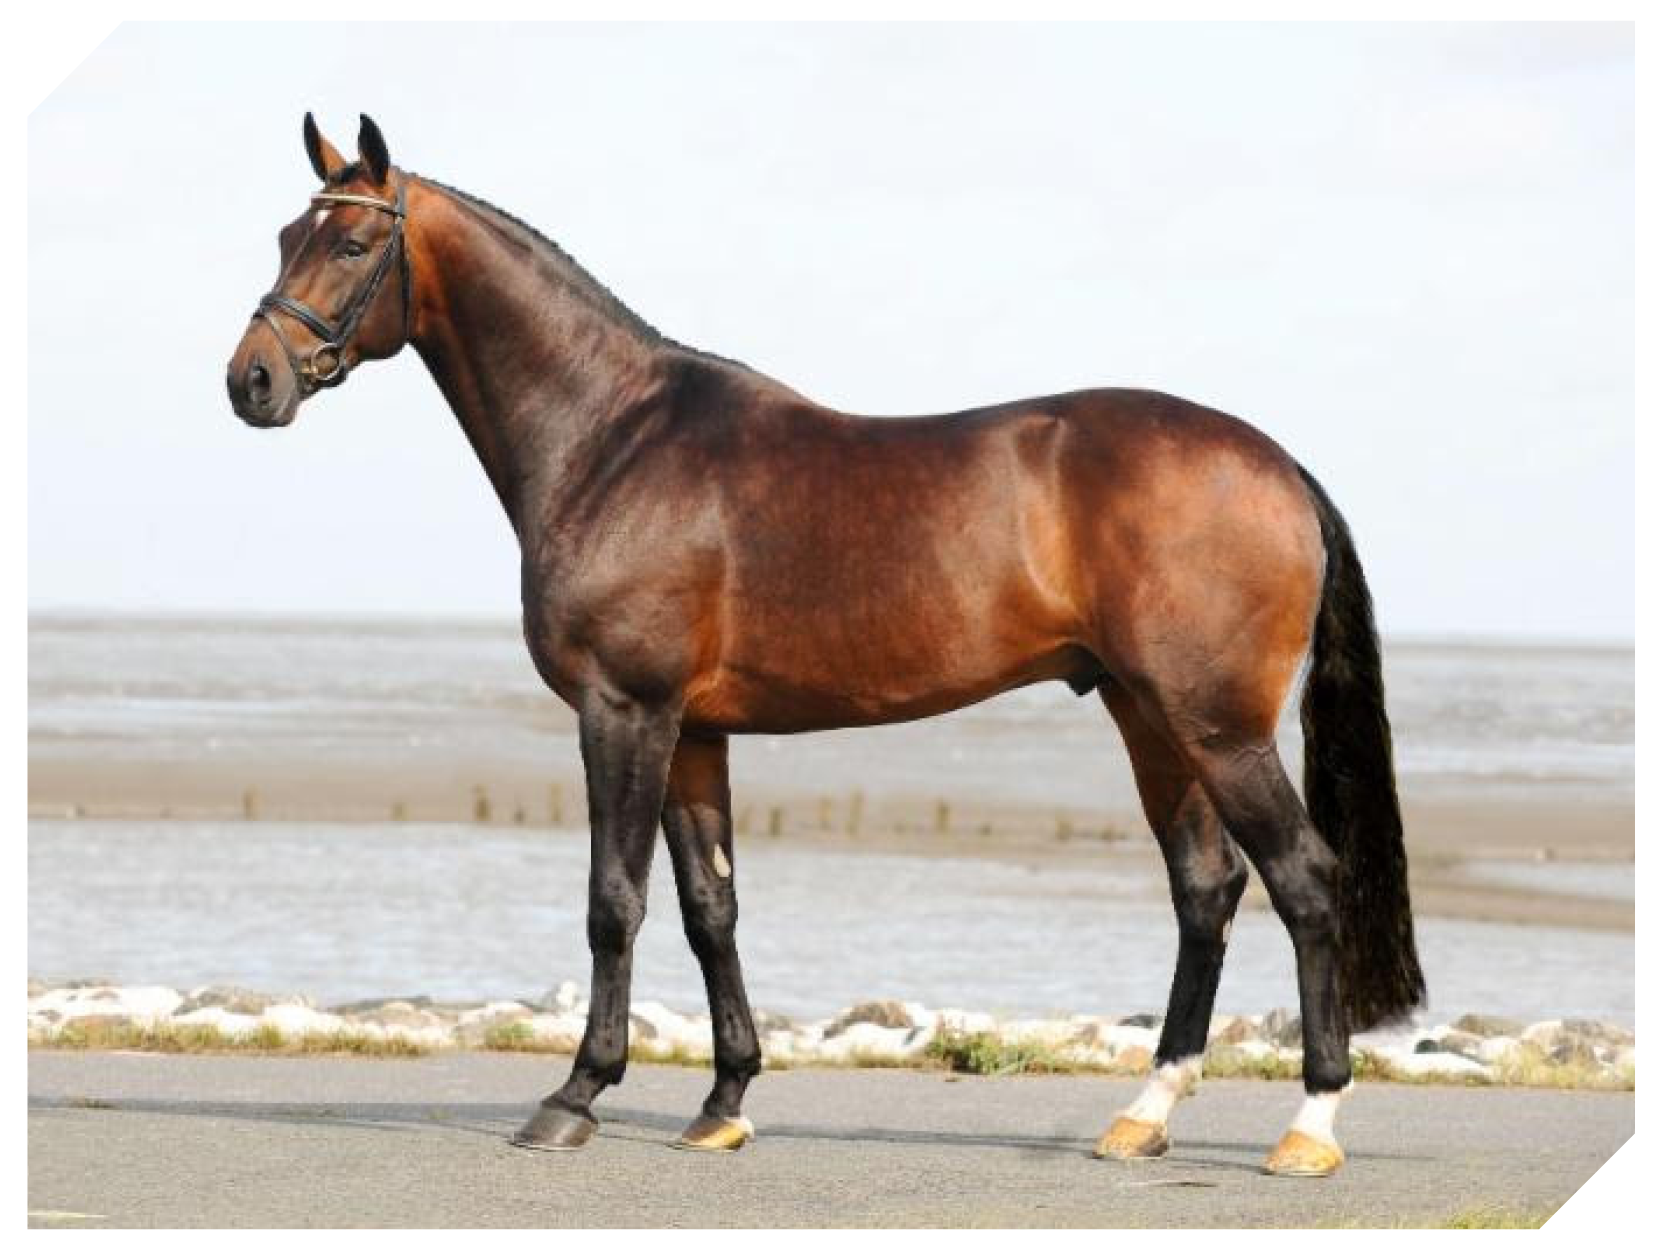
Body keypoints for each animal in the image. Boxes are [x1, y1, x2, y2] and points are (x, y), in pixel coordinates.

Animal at [227, 112, 1423, 1176]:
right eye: (286, 235)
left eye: (350, 243)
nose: (252, 381)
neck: (614, 439)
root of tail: (1277, 465)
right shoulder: (693, 731)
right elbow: (710, 907)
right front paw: (722, 1103)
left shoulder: (625, 710)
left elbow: (615, 901)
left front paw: (574, 1096)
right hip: (1150, 716)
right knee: (1204, 889)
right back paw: (1143, 1115)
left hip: (1217, 726)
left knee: (1304, 878)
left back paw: (1308, 1127)